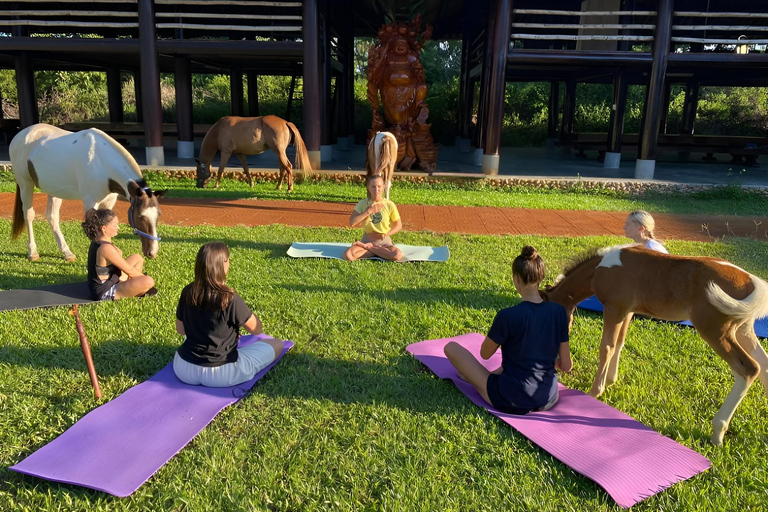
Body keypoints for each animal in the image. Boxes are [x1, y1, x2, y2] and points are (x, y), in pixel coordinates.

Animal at [9, 123, 166, 260]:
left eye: (158, 215)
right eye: (140, 216)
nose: (152, 252)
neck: (101, 162)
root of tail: (20, 135)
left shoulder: (109, 201)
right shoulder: (90, 201)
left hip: (54, 190)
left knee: (52, 217)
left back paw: (67, 253)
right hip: (25, 184)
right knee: (29, 215)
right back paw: (32, 253)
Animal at [540, 244, 768, 444]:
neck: (599, 269)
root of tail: (751, 280)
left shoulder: (614, 308)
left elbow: (607, 347)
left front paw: (595, 392)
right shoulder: (627, 311)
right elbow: (620, 342)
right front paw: (611, 379)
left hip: (715, 331)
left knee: (749, 369)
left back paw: (717, 431)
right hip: (743, 330)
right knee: (763, 364)